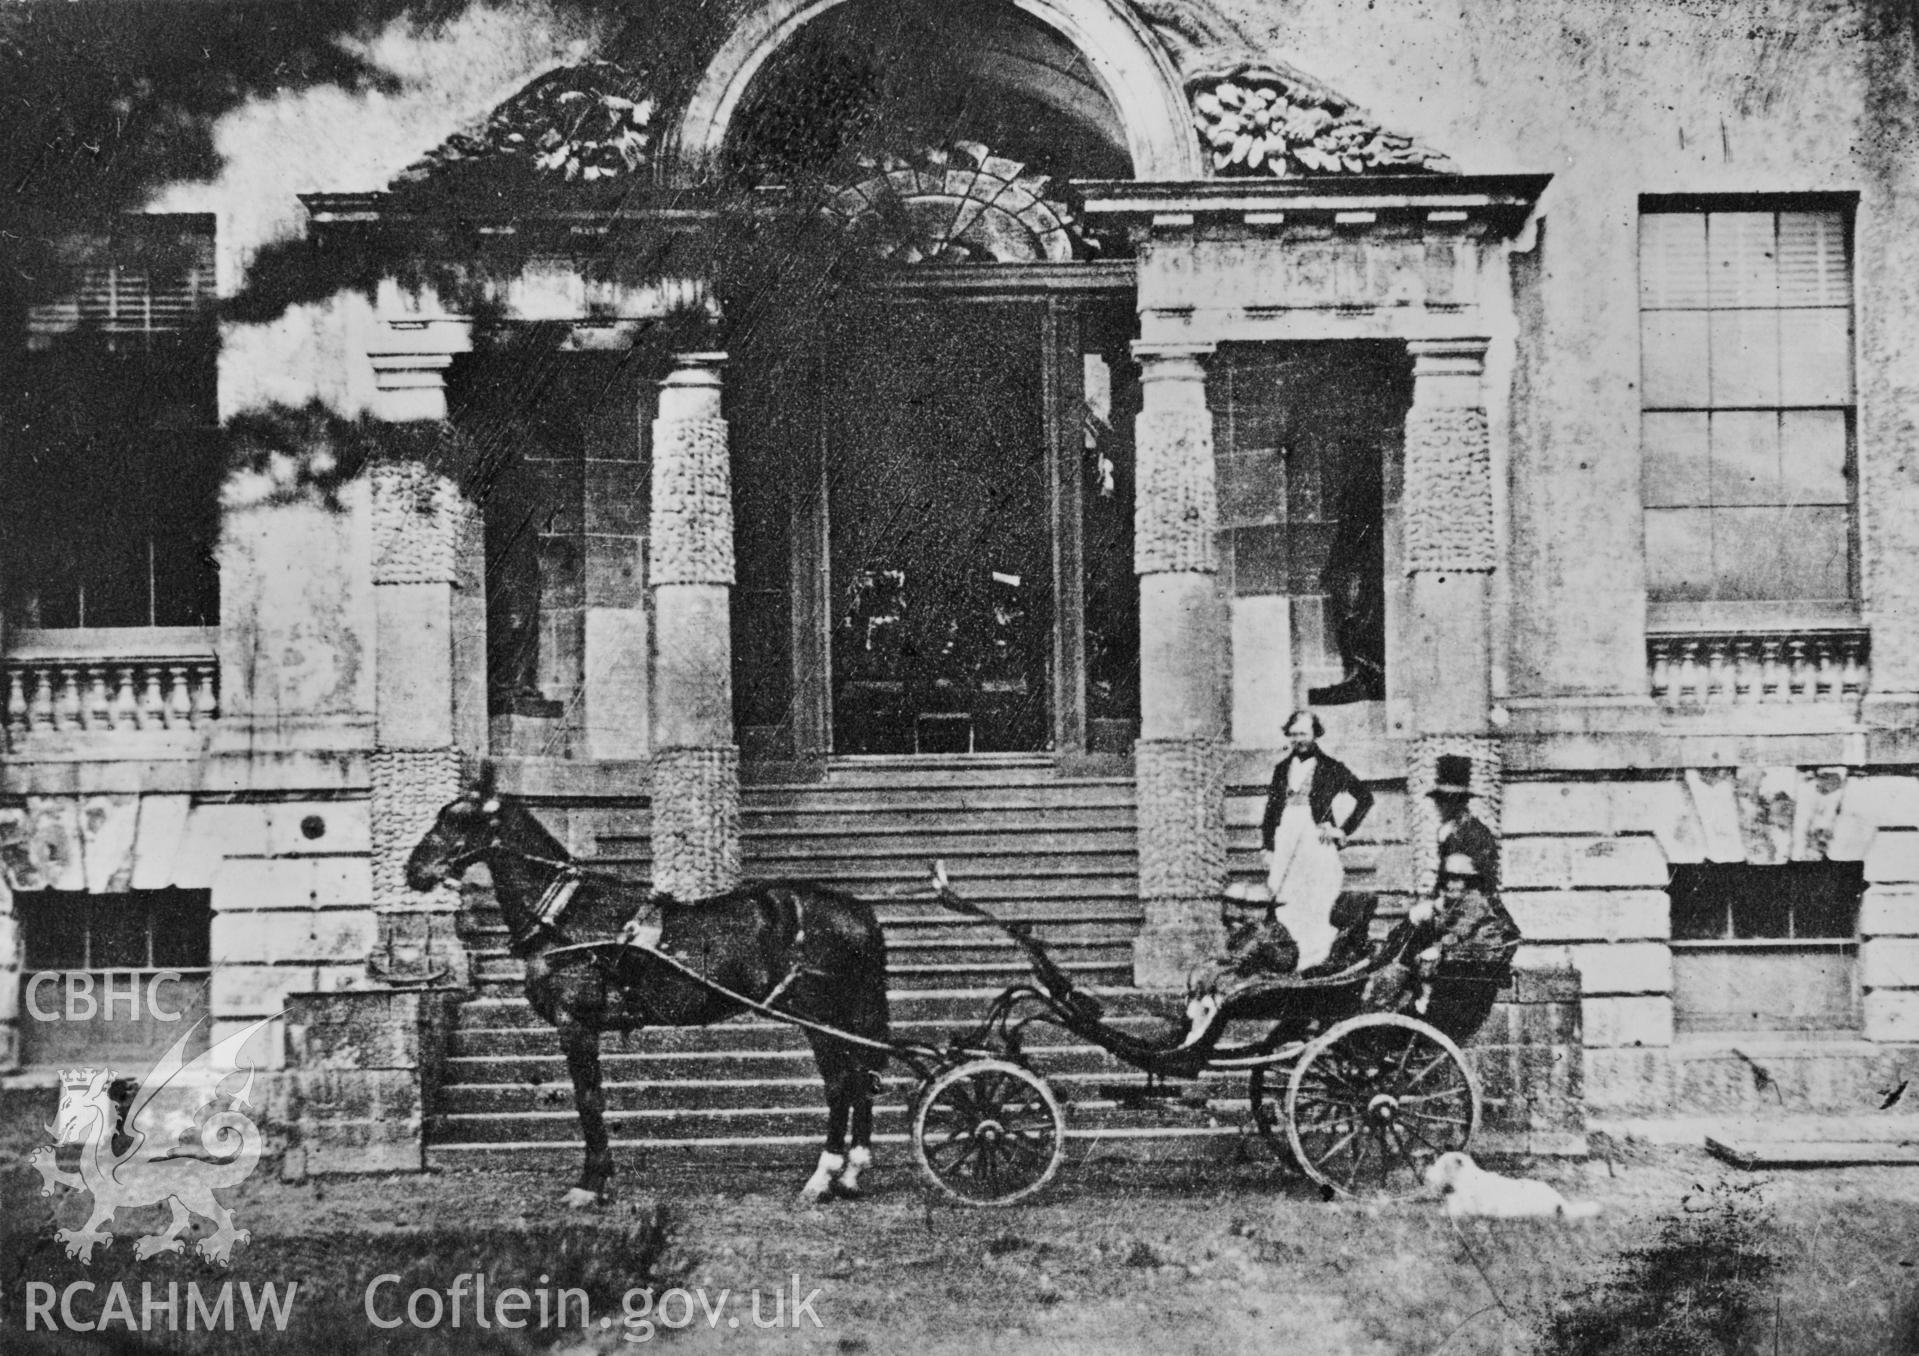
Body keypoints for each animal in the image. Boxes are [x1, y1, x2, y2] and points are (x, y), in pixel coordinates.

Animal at [408, 774, 886, 1212]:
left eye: (458, 818)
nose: (413, 871)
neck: (565, 914)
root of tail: (855, 910)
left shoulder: (575, 1023)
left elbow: (588, 1101)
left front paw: (590, 1183)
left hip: (818, 1017)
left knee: (840, 1084)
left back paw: (823, 1177)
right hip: (844, 1017)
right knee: (861, 1078)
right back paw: (851, 1173)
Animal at [1427, 1150, 1604, 1227]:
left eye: (1440, 1165)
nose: (1425, 1175)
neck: (1466, 1179)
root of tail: (1560, 1202)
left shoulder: (1463, 1208)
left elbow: (1445, 1210)